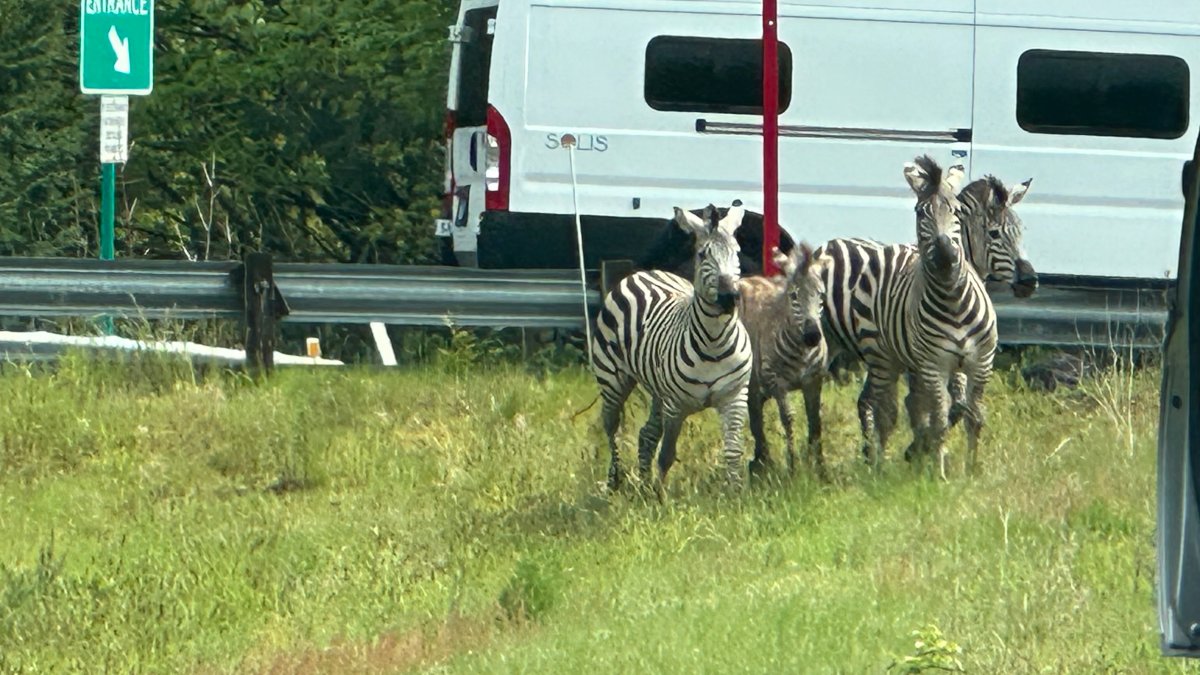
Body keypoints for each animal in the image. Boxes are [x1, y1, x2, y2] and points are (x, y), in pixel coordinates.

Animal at [591, 203, 754, 490]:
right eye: (703, 255)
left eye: (737, 253)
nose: (728, 298)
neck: (715, 341)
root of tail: (645, 272)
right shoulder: (676, 405)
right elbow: (666, 454)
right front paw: (660, 496)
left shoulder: (734, 397)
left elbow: (734, 451)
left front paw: (736, 493)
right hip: (612, 380)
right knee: (611, 428)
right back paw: (615, 482)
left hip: (657, 390)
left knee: (646, 433)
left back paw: (643, 485)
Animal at [738, 243, 832, 479]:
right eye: (794, 296)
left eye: (821, 295)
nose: (812, 336)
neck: (801, 352)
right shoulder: (777, 382)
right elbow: (788, 419)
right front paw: (793, 468)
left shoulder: (813, 381)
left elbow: (815, 421)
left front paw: (820, 468)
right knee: (755, 418)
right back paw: (763, 464)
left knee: (755, 414)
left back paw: (761, 462)